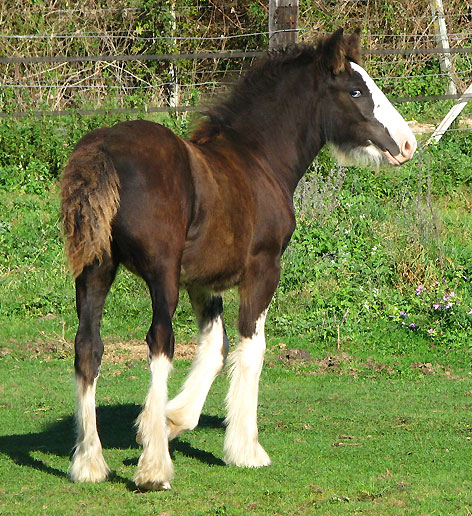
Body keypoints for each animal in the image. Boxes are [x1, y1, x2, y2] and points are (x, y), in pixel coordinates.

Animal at [60, 29, 416, 492]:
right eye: (356, 91)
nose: (407, 144)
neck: (257, 159)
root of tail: (103, 149)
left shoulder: (202, 280)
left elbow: (216, 347)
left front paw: (170, 419)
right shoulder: (263, 269)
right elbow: (252, 346)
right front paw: (245, 449)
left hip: (95, 269)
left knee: (88, 346)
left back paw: (90, 463)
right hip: (160, 273)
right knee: (159, 341)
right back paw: (154, 469)